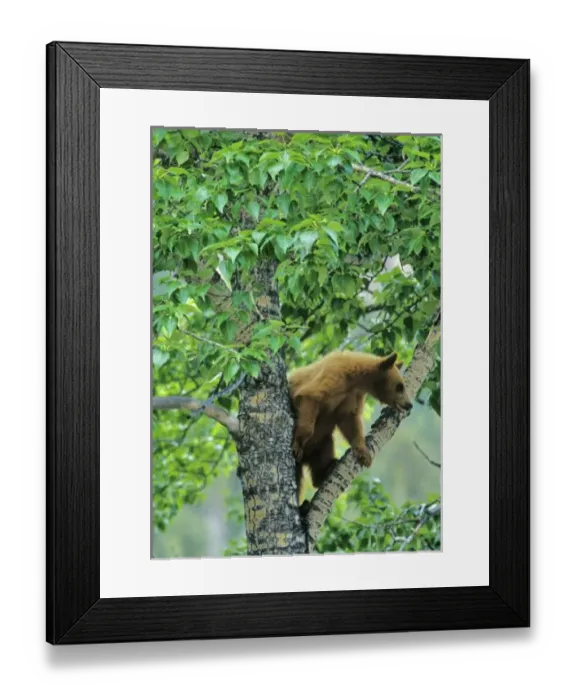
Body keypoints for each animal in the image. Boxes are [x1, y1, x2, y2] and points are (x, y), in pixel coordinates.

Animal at [287, 350, 413, 506]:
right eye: (400, 386)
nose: (409, 405)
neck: (354, 379)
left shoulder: (352, 396)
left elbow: (350, 421)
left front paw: (364, 454)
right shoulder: (331, 377)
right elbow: (311, 397)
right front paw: (298, 443)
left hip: (321, 442)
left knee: (324, 449)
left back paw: (327, 469)